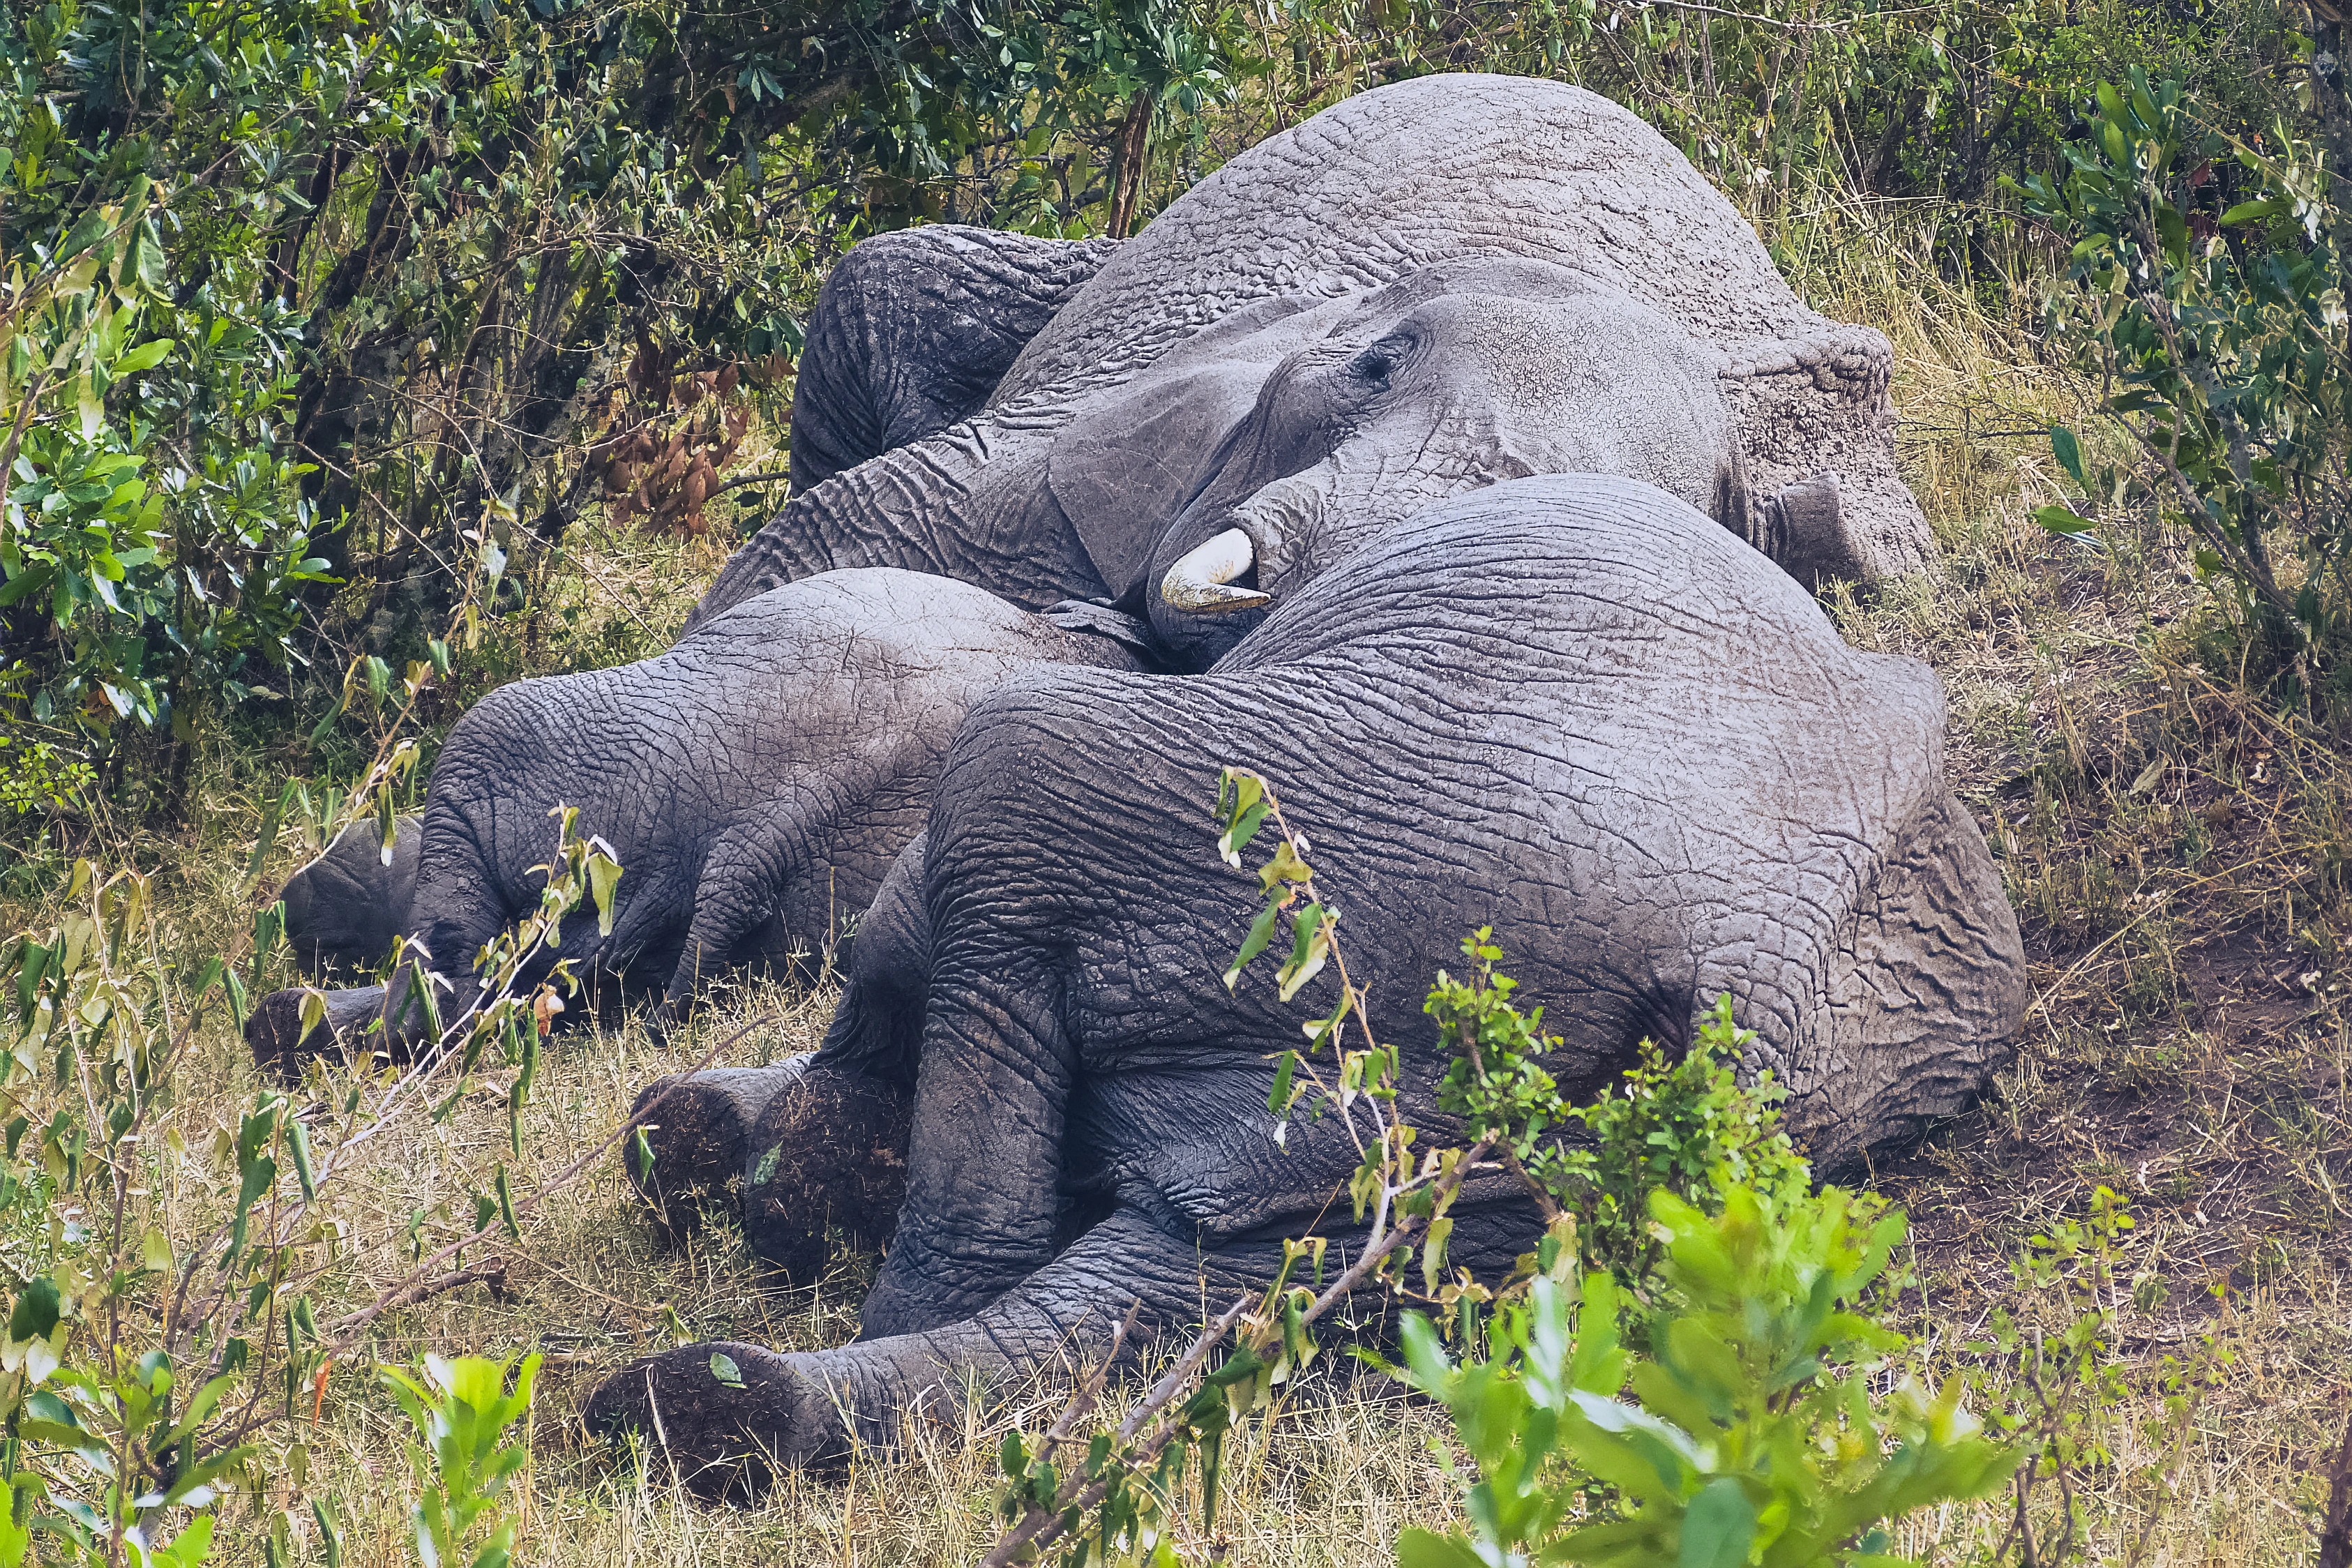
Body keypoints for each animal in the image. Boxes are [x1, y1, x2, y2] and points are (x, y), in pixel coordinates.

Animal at [586, 473, 2025, 1487]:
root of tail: (1757, 953)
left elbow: (898, 961)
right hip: (1560, 1162)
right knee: (1175, 1282)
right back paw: (707, 1378)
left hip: (1359, 837)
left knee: (1013, 784)